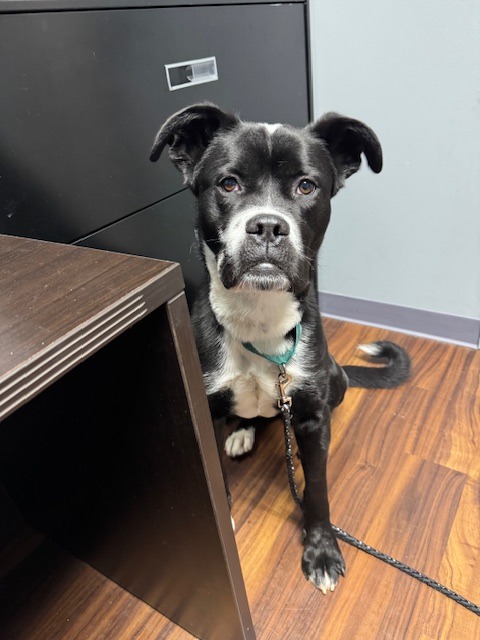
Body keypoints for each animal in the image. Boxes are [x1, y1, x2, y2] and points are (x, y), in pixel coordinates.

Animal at [150, 104, 411, 594]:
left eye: (306, 185)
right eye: (228, 183)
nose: (268, 226)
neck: (258, 315)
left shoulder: (308, 415)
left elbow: (318, 488)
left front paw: (321, 549)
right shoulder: (205, 409)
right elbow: (217, 477)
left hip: (334, 378)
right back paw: (242, 431)